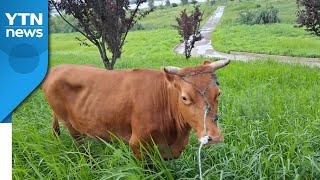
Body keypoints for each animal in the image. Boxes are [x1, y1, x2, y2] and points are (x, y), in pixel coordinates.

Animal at [43, 59, 230, 158]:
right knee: (80, 145)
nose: (213, 137)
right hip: (69, 124)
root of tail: (57, 68)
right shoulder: (137, 144)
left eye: (218, 93)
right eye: (184, 97)